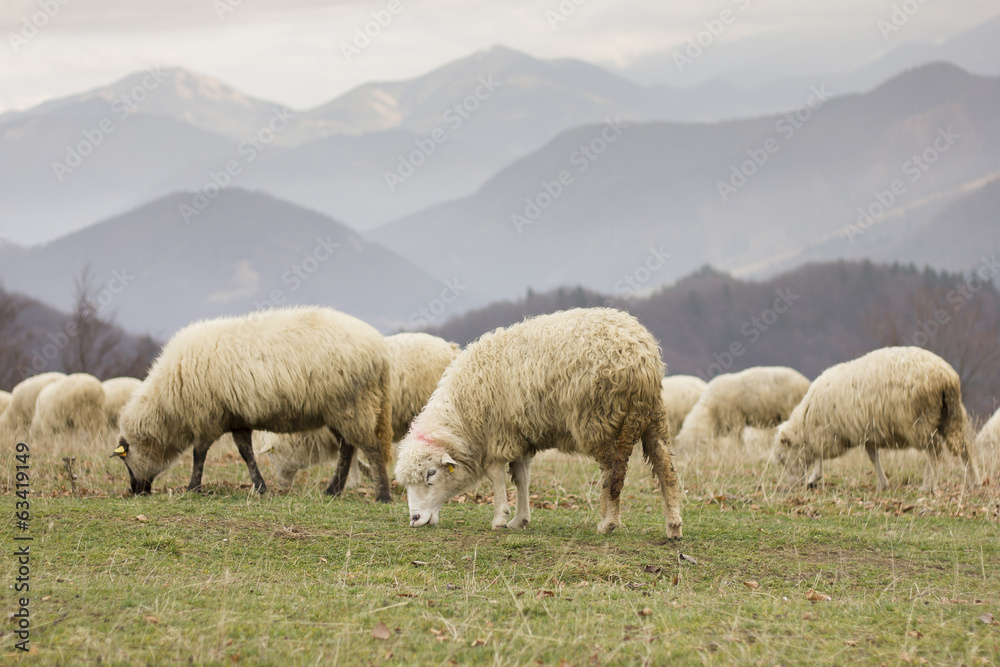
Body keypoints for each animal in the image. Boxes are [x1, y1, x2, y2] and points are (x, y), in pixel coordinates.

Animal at [114, 306, 394, 498]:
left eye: (125, 459)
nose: (136, 491)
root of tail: (380, 351)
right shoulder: (236, 419)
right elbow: (245, 452)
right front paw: (260, 486)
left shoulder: (207, 418)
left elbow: (199, 454)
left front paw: (193, 487)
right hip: (338, 410)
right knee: (347, 448)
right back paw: (333, 490)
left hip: (352, 404)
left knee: (370, 447)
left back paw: (382, 495)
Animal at [256, 332, 462, 488]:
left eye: (272, 455)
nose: (282, 485)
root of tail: (450, 347)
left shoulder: (350, 422)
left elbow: (351, 453)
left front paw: (353, 481)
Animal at [394, 308, 684, 536]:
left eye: (431, 473)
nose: (414, 519)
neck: (462, 416)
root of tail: (640, 355)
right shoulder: (520, 436)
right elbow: (522, 478)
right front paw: (519, 520)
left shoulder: (499, 434)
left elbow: (495, 475)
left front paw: (499, 518)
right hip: (653, 416)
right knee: (665, 468)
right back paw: (673, 526)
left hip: (598, 418)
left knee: (613, 472)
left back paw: (608, 523)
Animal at [676, 368, 808, 452]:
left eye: (694, 446)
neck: (710, 410)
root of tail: (805, 382)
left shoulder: (733, 416)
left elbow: (736, 438)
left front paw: (738, 450)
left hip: (790, 408)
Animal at [772, 348, 976, 494]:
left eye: (781, 457)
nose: (794, 486)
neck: (805, 421)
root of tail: (946, 377)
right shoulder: (867, 432)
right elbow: (873, 457)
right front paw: (883, 483)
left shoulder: (826, 432)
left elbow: (819, 454)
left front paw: (814, 477)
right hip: (952, 414)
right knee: (964, 448)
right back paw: (974, 481)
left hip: (920, 421)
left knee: (934, 452)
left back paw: (928, 485)